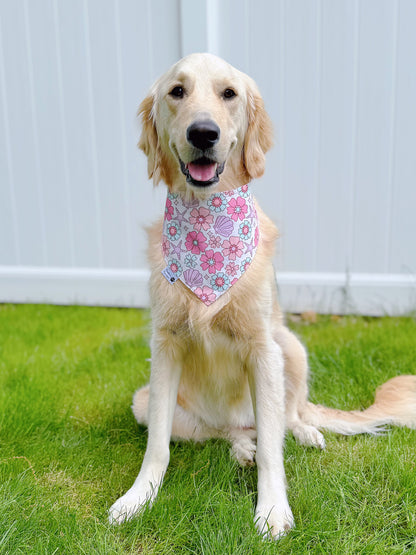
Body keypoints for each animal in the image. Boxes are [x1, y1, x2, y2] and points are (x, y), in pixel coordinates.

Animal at [109, 52, 416, 540]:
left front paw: (272, 509)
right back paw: (240, 447)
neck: (207, 229)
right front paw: (139, 498)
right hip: (146, 399)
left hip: (292, 347)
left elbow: (275, 447)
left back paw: (302, 433)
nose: (203, 133)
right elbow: (157, 445)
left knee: (287, 418)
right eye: (177, 91)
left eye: (228, 94)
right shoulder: (164, 347)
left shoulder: (262, 349)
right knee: (228, 432)